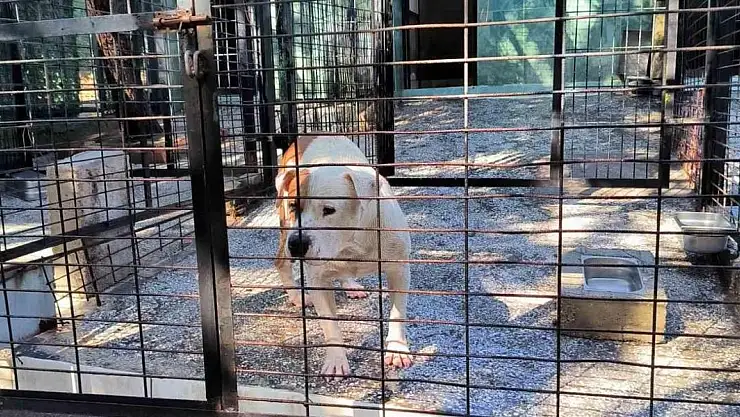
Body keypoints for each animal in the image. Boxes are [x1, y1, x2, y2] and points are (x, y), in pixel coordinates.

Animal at [274, 135, 413, 379]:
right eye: (293, 206)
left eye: (329, 210)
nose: (297, 243)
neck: (349, 243)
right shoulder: (318, 280)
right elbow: (330, 324)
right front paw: (336, 360)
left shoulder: (399, 269)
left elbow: (397, 313)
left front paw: (397, 350)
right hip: (284, 230)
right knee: (281, 261)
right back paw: (296, 296)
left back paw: (350, 284)